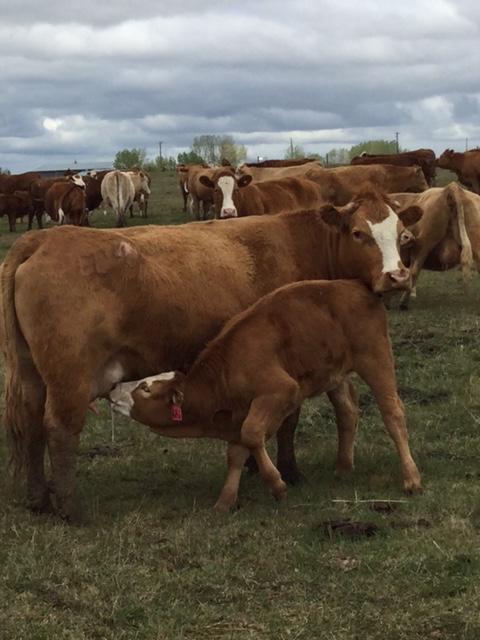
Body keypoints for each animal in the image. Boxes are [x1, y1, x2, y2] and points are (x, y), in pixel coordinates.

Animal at [110, 279, 422, 511]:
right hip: (335, 374)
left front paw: (276, 484)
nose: (113, 389)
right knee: (347, 412)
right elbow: (236, 453)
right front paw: (225, 501)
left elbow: (251, 435)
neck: (226, 371)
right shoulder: (239, 413)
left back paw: (411, 478)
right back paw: (343, 467)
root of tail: (360, 287)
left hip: (375, 359)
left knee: (393, 413)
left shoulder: (281, 392)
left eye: (145, 388)